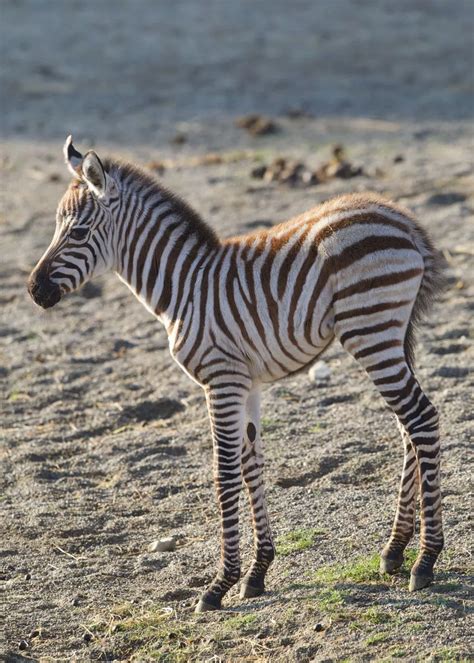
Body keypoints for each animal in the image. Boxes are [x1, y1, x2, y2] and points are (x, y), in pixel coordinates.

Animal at [27, 139, 446, 612]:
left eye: (77, 233)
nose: (33, 291)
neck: (184, 287)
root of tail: (402, 219)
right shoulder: (248, 384)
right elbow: (251, 466)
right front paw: (257, 572)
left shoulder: (221, 379)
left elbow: (224, 472)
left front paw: (219, 584)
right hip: (392, 334)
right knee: (408, 428)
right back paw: (394, 549)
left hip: (371, 332)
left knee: (422, 420)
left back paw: (425, 560)